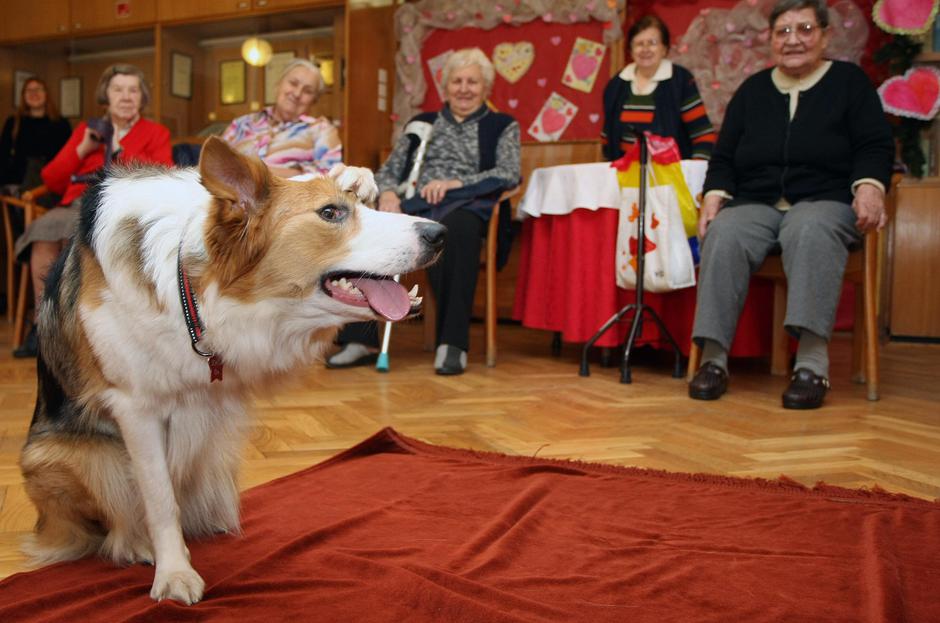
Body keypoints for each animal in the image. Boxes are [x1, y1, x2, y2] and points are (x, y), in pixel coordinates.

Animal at [18, 136, 444, 604]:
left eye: (361, 205)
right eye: (330, 213)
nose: (439, 234)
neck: (192, 285)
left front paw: (354, 174)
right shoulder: (135, 408)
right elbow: (159, 498)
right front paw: (174, 571)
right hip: (64, 458)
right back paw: (133, 544)